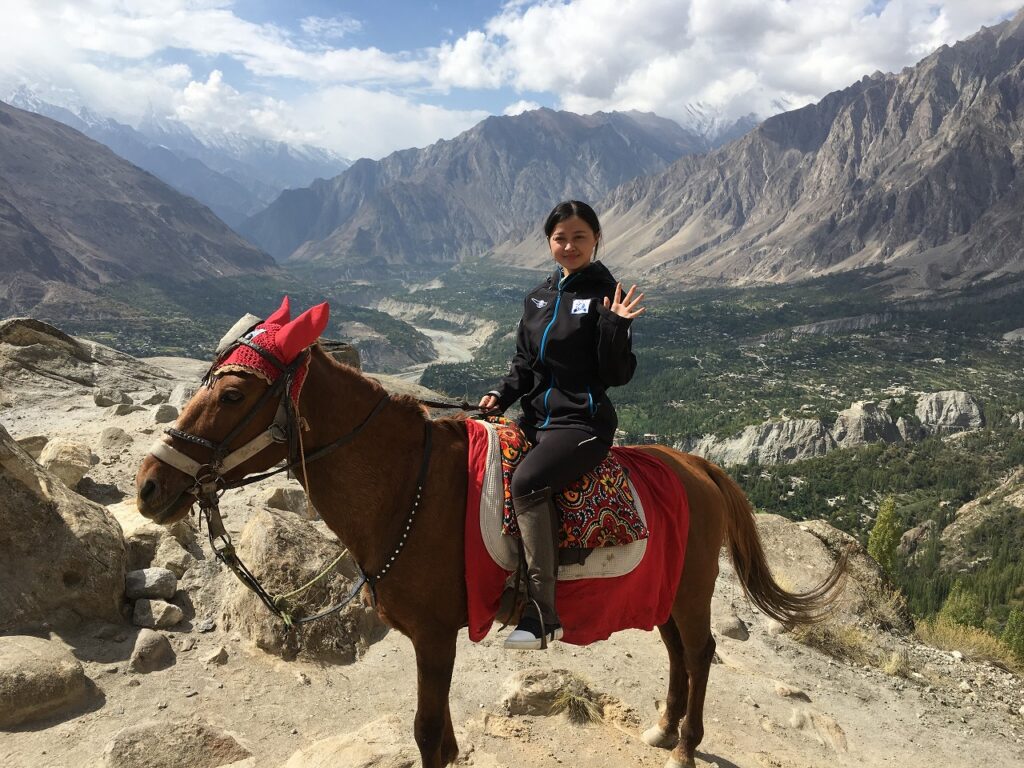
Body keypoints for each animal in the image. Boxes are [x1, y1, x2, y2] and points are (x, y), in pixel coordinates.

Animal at [140, 305, 851, 768]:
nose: (150, 485)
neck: (408, 486)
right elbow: (444, 738)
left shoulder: (433, 636)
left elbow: (429, 735)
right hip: (667, 591)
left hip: (691, 590)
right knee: (679, 652)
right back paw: (661, 729)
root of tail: (699, 468)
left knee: (699, 652)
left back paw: (684, 748)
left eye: (233, 394)